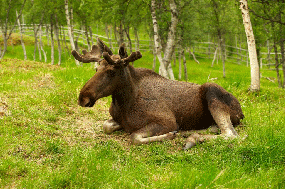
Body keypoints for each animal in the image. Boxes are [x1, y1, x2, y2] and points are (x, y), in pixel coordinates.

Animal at [71, 37, 244, 149]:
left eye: (112, 72)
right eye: (96, 69)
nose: (83, 98)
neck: (124, 102)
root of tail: (241, 112)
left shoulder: (167, 121)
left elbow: (134, 137)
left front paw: (171, 135)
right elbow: (106, 126)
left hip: (212, 90)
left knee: (231, 134)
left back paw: (192, 138)